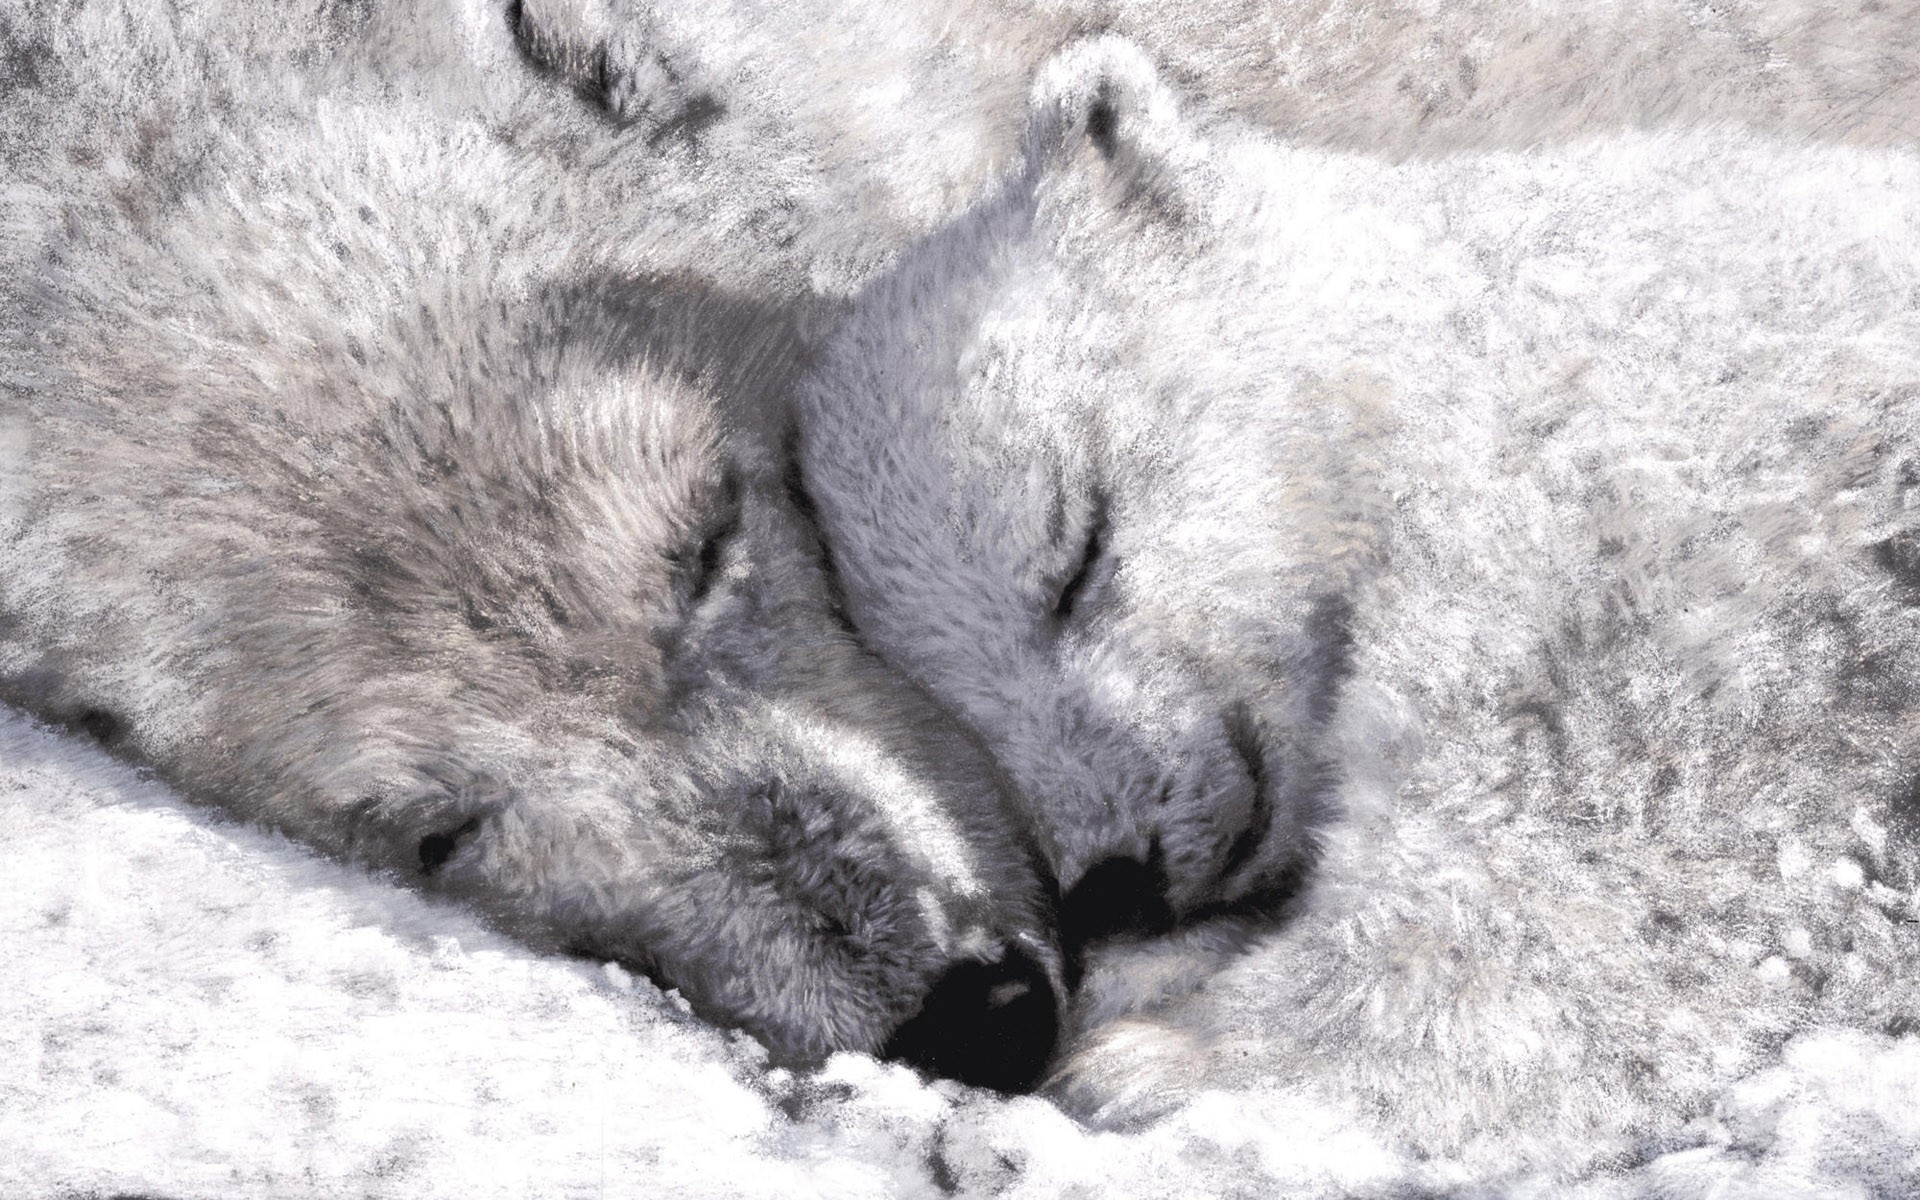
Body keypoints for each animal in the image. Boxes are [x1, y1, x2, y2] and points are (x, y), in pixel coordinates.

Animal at [790, 34, 1920, 1163]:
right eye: (949, 706)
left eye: (1077, 546)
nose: (1117, 879)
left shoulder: (1646, 527)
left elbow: (1590, 815)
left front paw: (1165, 1058)